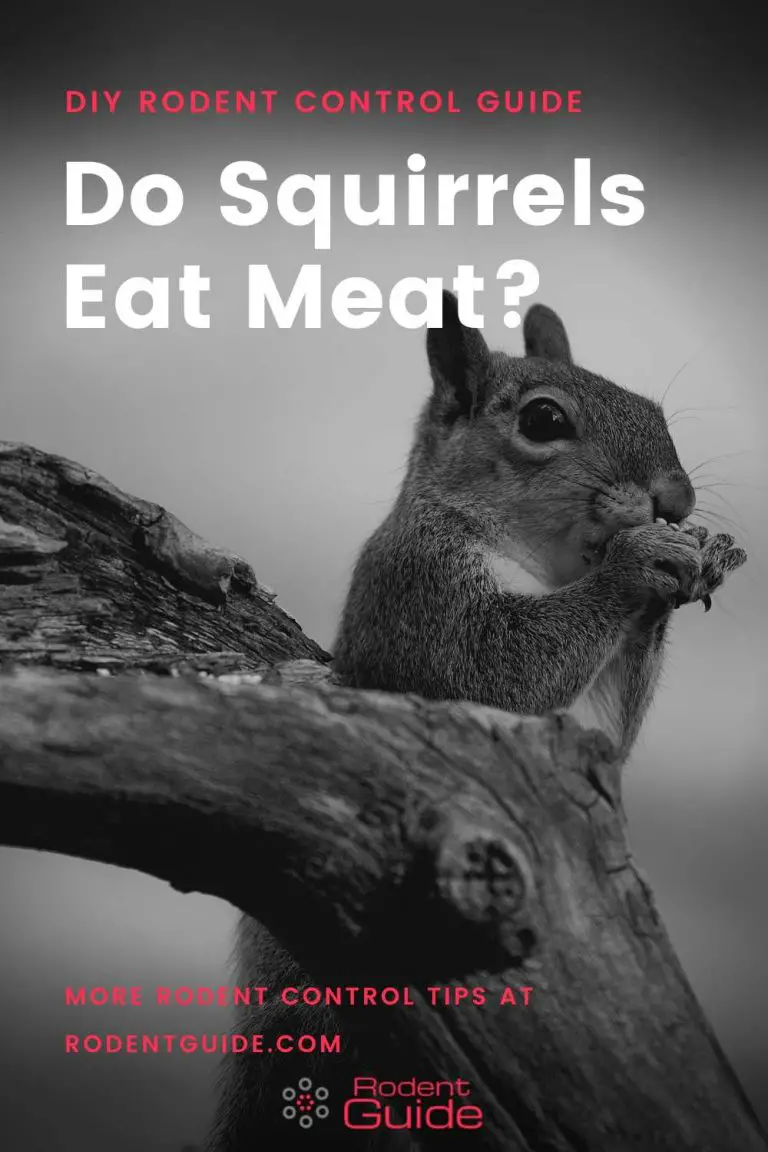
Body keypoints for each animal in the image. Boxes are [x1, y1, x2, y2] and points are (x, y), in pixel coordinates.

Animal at [207, 293, 746, 1149]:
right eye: (544, 419)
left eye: (656, 409)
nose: (677, 499)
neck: (546, 563)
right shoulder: (425, 598)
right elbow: (503, 673)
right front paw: (642, 561)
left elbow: (606, 730)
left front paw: (705, 553)